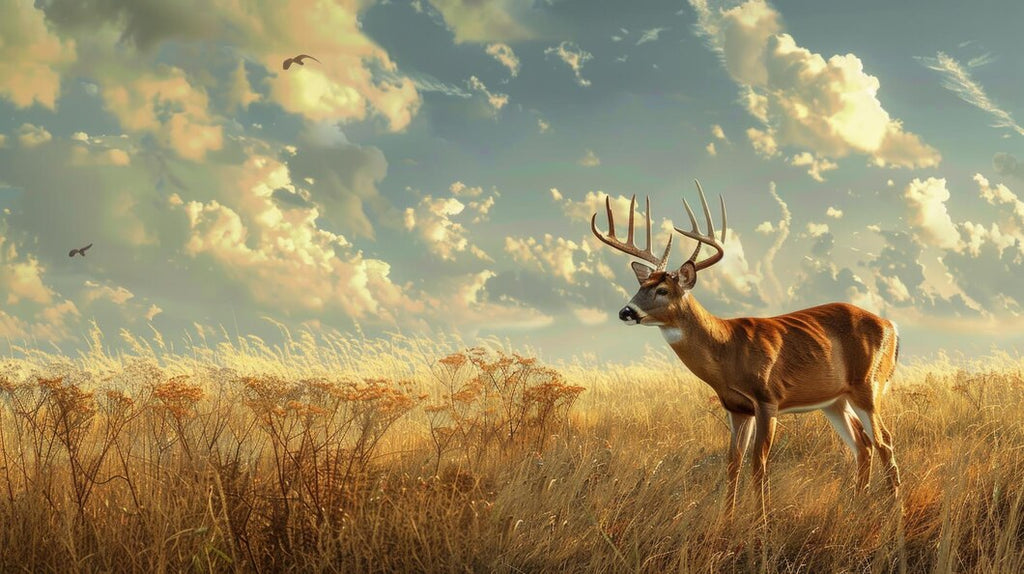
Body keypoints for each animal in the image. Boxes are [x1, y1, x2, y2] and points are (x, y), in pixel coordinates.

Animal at [591, 181, 901, 514]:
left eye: (662, 289)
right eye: (641, 286)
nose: (626, 311)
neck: (727, 349)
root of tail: (891, 325)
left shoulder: (768, 398)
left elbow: (758, 462)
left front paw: (761, 520)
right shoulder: (737, 407)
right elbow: (733, 463)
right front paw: (727, 519)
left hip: (867, 386)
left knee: (884, 440)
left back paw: (895, 509)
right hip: (834, 400)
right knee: (863, 444)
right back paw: (858, 504)